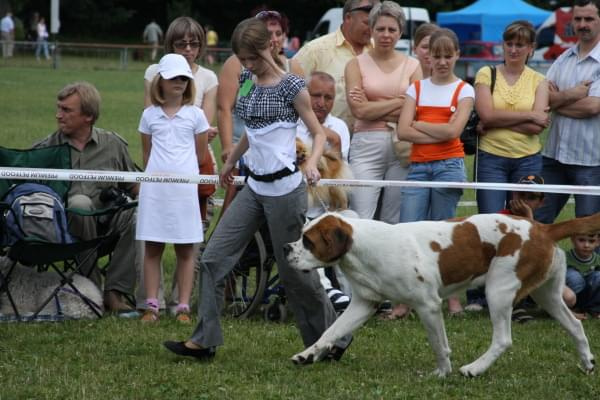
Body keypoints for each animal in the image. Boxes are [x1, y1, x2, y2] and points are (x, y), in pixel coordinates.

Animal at [282, 211, 600, 376]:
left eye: (308, 241)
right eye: (302, 234)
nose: (286, 248)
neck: (365, 247)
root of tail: (543, 228)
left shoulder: (428, 305)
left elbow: (438, 344)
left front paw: (442, 373)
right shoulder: (363, 304)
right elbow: (330, 332)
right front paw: (307, 354)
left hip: (498, 289)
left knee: (503, 339)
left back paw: (474, 368)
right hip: (549, 295)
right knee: (575, 325)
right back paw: (587, 363)